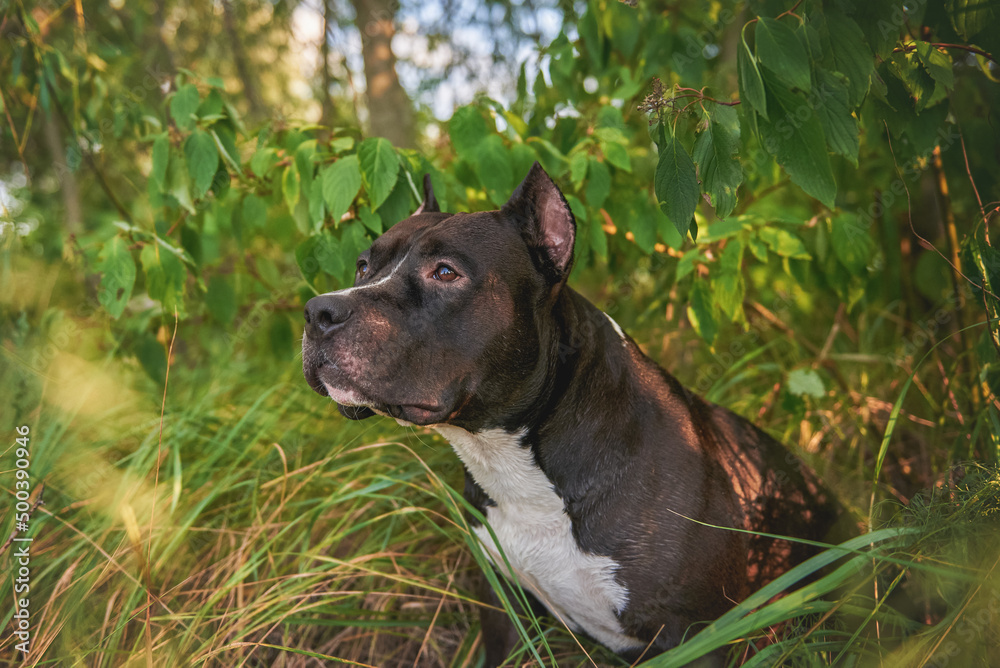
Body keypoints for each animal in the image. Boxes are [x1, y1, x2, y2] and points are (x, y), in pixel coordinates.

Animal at [302, 163, 844, 668]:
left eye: (445, 272)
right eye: (362, 266)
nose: (318, 311)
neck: (515, 464)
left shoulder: (695, 635)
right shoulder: (505, 609)